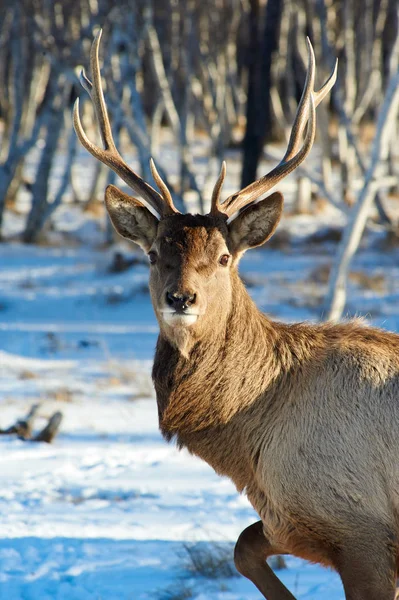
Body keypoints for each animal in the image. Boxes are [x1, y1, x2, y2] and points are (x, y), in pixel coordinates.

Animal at [72, 30, 399, 596]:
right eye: (154, 253)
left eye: (224, 257)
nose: (181, 298)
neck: (249, 450)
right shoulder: (291, 519)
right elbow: (242, 547)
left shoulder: (363, 527)